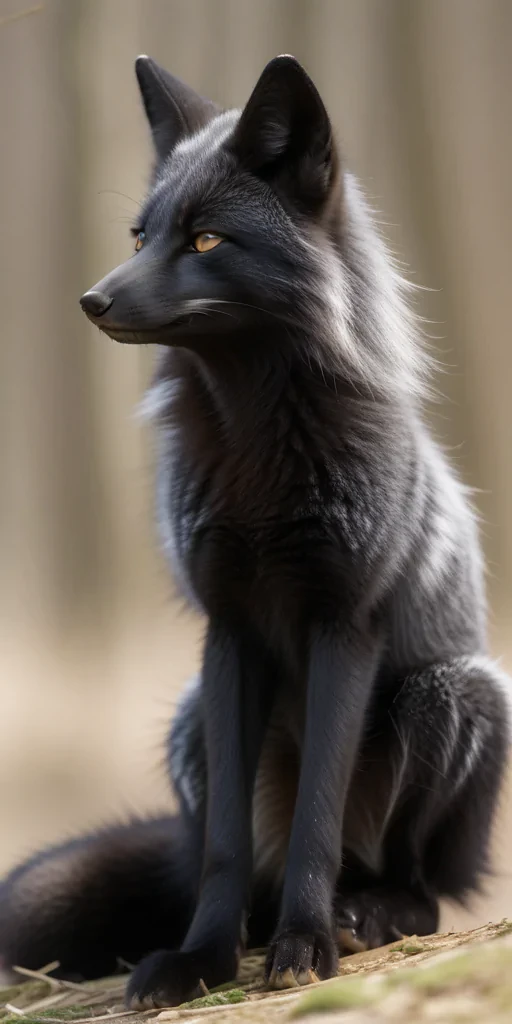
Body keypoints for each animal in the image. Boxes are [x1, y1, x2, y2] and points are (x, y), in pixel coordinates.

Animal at [0, 54, 510, 1009]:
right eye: (140, 237)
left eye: (206, 242)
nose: (91, 300)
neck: (258, 454)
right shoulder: (228, 628)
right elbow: (227, 850)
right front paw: (202, 960)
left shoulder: (344, 623)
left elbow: (317, 813)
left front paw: (302, 948)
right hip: (190, 720)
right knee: (227, 856)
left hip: (454, 695)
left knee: (417, 887)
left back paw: (362, 913)